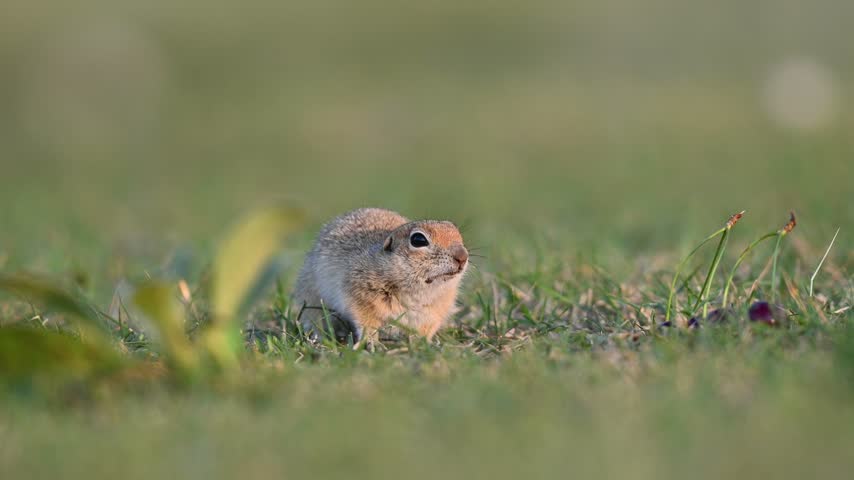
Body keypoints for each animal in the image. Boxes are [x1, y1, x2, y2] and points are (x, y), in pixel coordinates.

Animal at [292, 208, 469, 345]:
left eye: (458, 234)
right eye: (418, 240)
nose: (462, 256)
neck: (416, 293)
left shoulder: (434, 313)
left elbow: (424, 331)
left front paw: (423, 345)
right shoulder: (360, 296)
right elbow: (366, 323)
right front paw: (371, 343)